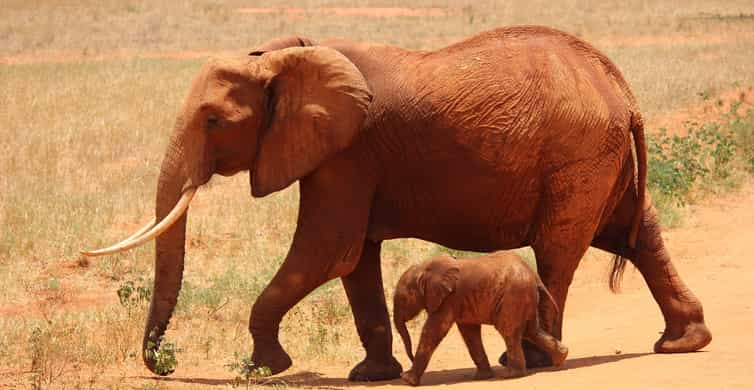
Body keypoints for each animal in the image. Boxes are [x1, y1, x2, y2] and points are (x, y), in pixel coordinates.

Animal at [394, 251, 564, 386]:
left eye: (403, 299)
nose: (410, 358)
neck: (425, 268)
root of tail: (534, 275)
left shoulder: (449, 299)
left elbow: (434, 330)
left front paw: (407, 380)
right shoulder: (460, 302)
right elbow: (469, 333)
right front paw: (482, 377)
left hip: (514, 296)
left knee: (509, 331)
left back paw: (511, 375)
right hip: (524, 296)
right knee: (531, 330)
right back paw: (562, 358)